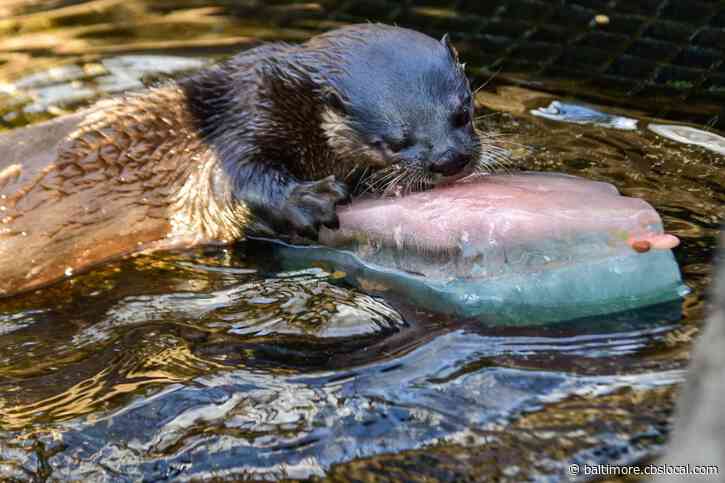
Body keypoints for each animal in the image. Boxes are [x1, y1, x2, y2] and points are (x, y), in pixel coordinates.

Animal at [0, 23, 488, 297]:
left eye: (463, 111)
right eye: (394, 140)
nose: (451, 158)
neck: (290, 105)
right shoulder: (242, 121)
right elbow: (242, 179)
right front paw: (307, 200)